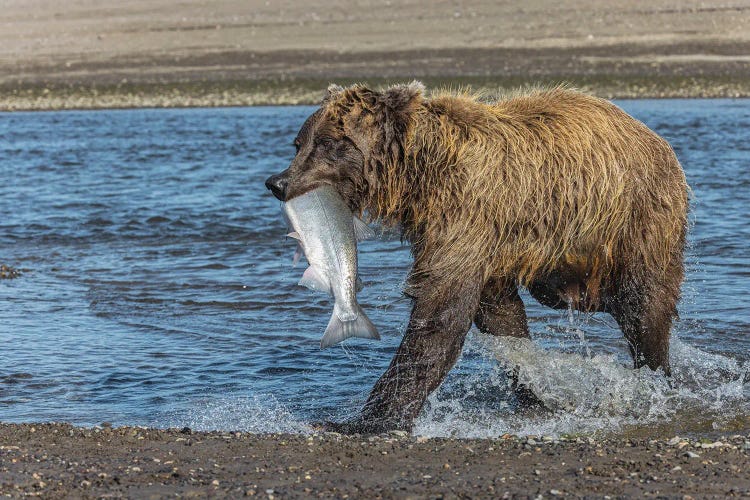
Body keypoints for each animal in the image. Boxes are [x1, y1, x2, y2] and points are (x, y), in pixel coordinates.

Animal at [262, 83, 688, 434]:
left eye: (330, 142)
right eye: (299, 142)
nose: (278, 182)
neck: (418, 175)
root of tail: (654, 137)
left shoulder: (466, 212)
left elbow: (441, 309)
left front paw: (365, 420)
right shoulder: (461, 234)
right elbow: (497, 312)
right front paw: (534, 389)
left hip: (636, 218)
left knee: (643, 305)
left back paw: (657, 377)